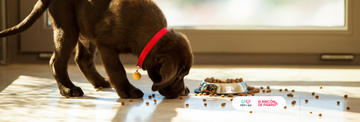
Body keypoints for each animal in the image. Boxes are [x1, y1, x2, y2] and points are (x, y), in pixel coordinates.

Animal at [0, 0, 193, 98]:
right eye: (179, 76)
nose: (185, 92)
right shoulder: (106, 45)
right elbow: (118, 70)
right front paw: (128, 90)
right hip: (68, 27)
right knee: (57, 61)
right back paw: (68, 89)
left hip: (86, 30)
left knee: (82, 59)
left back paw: (99, 82)